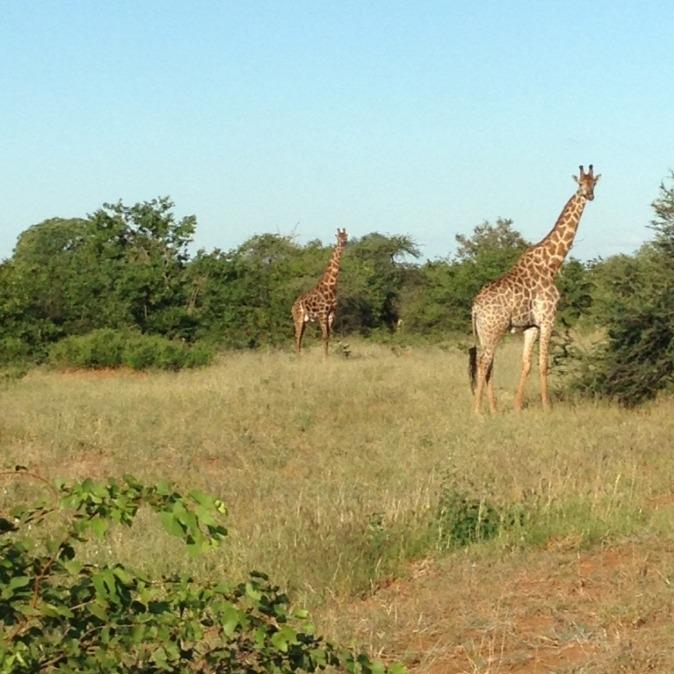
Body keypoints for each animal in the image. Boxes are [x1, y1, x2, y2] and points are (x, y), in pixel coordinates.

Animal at [468, 165, 600, 412]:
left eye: (594, 183)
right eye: (580, 183)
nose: (589, 195)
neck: (551, 263)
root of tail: (475, 307)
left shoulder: (531, 326)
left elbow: (526, 363)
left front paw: (518, 406)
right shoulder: (548, 318)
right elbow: (543, 363)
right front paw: (547, 406)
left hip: (483, 331)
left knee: (489, 363)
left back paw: (493, 409)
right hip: (494, 328)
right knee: (483, 362)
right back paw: (478, 411)